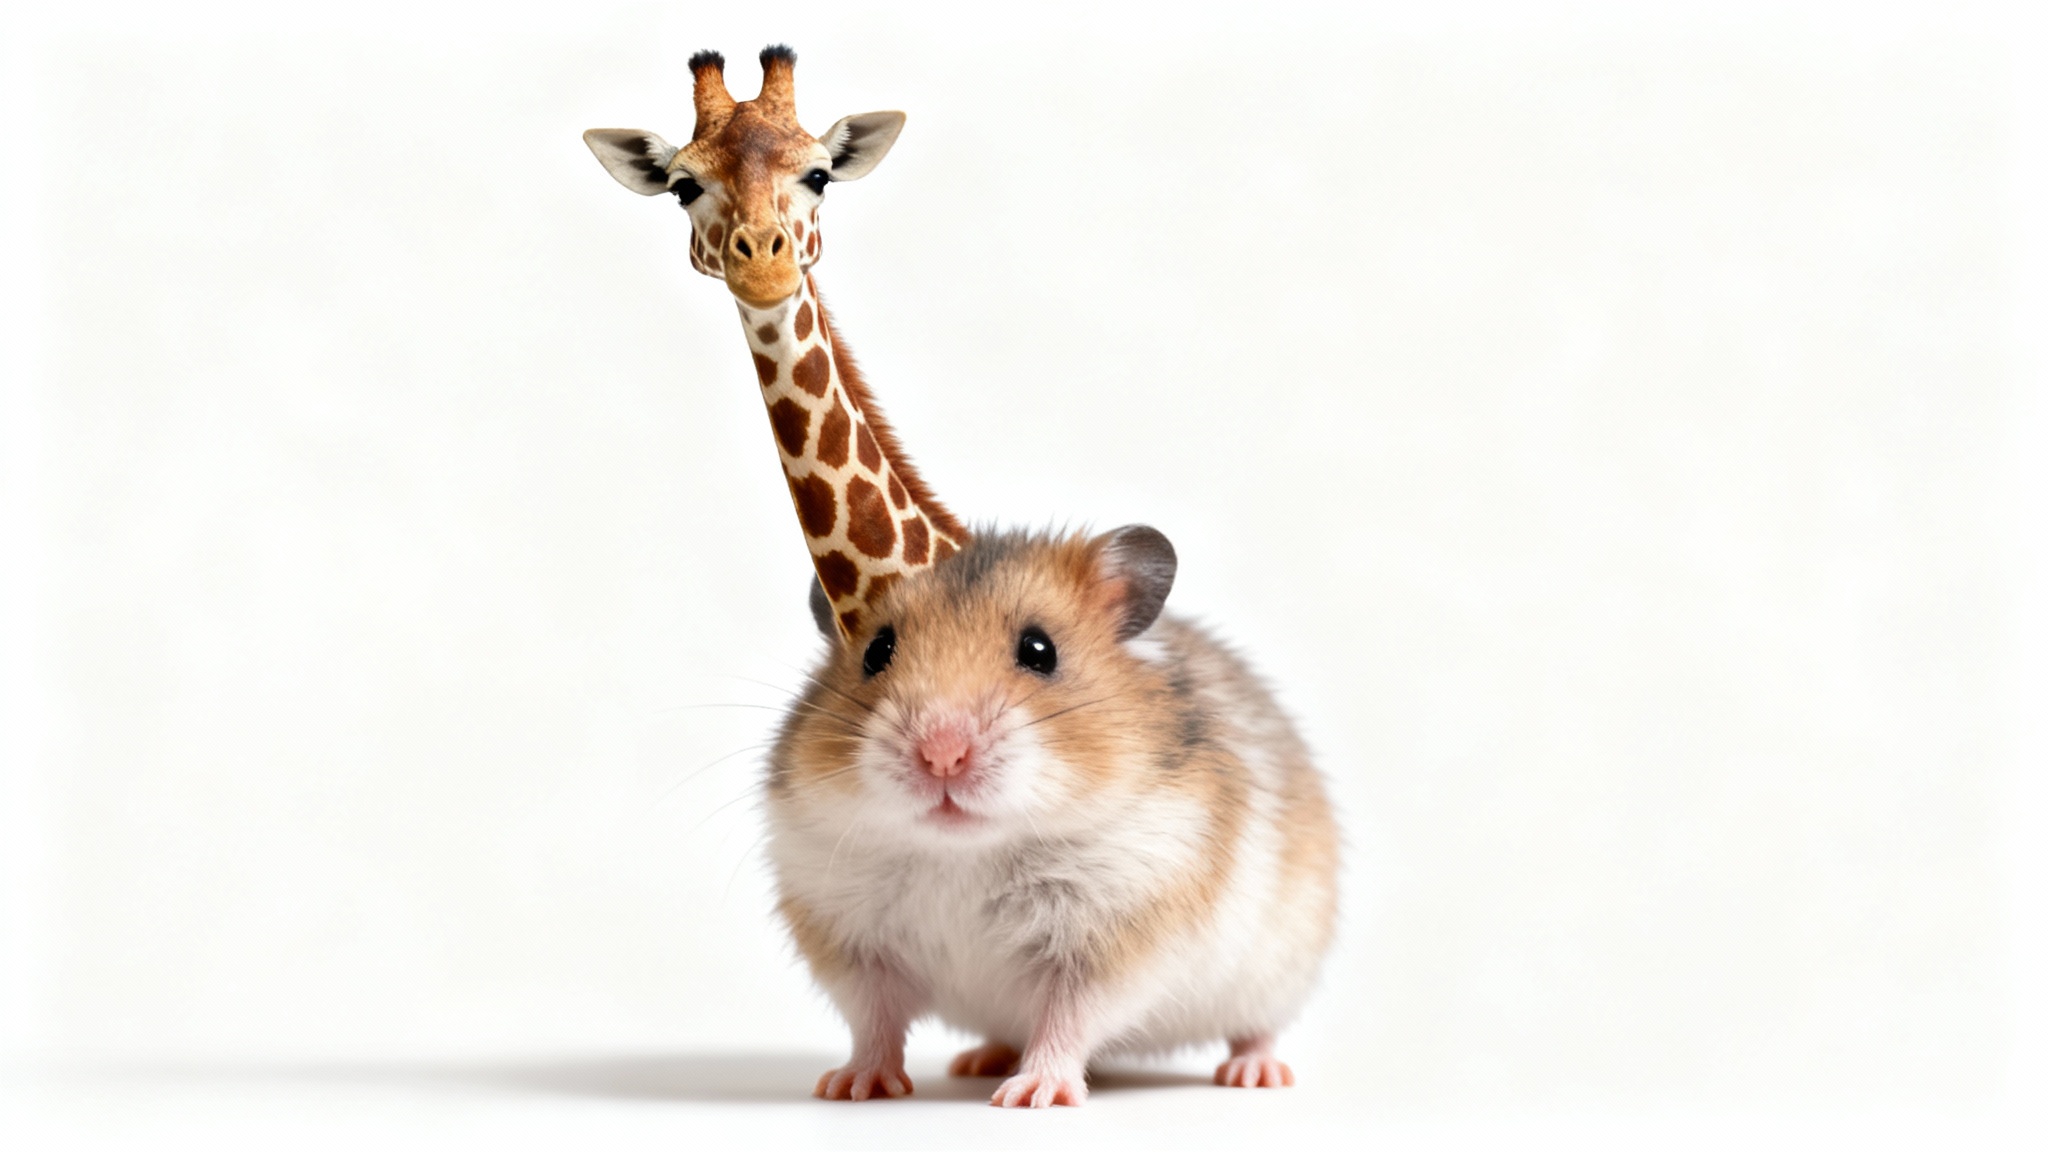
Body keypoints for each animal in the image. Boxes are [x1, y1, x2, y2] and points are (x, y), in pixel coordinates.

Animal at [764, 524, 1340, 1108]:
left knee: (1257, 1029)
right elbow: (873, 1022)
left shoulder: (1106, 941)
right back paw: (978, 1060)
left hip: (1276, 972)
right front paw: (850, 1087)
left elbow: (1066, 1020)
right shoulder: (853, 943)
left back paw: (1255, 1074)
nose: (942, 754)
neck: (963, 854)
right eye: (878, 650)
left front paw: (1033, 1095)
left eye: (1040, 650)